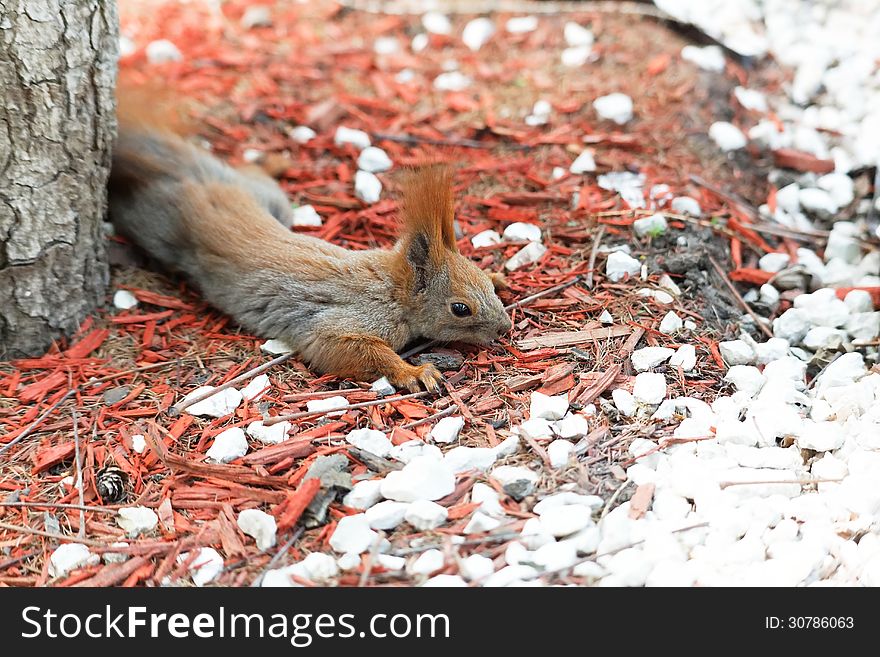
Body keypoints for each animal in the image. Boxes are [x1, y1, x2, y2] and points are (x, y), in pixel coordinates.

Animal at [106, 94, 512, 390]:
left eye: (482, 282)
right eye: (460, 309)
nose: (504, 328)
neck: (393, 290)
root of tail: (195, 178)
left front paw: (500, 276)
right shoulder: (342, 322)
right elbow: (351, 351)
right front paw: (413, 373)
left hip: (269, 199)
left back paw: (274, 162)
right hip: (157, 224)